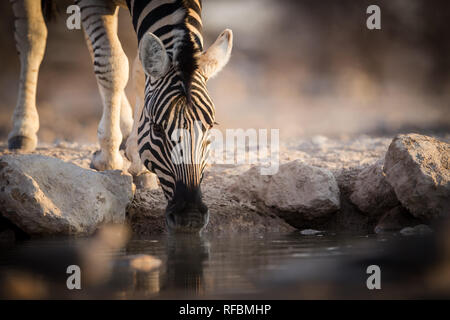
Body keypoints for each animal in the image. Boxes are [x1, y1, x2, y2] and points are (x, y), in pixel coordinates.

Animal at [8, 0, 234, 232]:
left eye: (210, 127)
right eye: (157, 128)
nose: (191, 218)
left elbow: (138, 71)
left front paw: (137, 161)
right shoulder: (94, 3)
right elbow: (113, 66)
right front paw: (108, 156)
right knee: (32, 38)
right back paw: (23, 130)